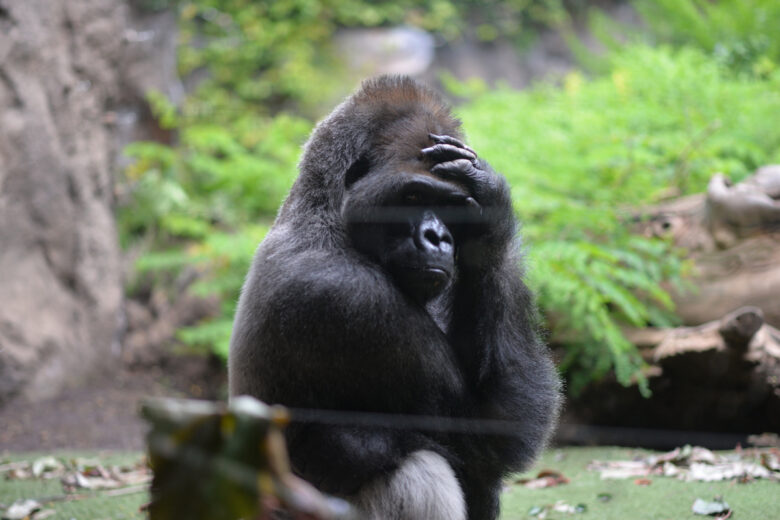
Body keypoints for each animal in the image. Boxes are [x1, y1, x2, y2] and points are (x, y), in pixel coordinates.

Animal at [230, 76, 560, 520]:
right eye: (414, 197)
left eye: (451, 207)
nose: (438, 238)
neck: (324, 214)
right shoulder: (349, 297)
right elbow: (494, 429)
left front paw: (490, 203)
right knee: (417, 466)